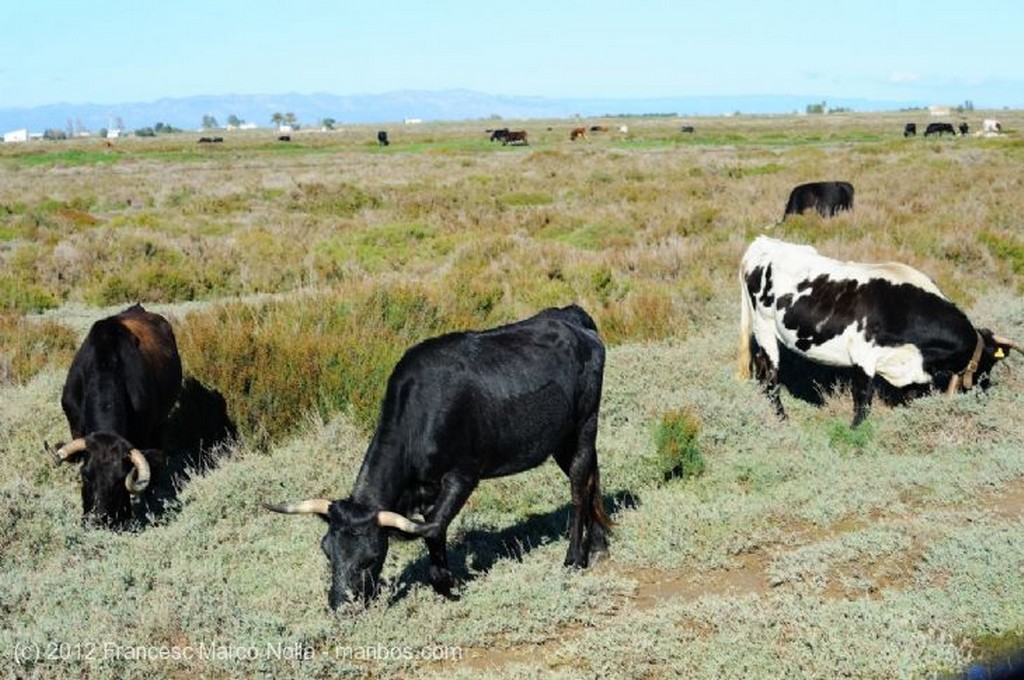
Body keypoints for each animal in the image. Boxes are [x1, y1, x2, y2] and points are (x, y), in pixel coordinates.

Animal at [54, 305, 183, 528]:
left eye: (119, 480)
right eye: (85, 475)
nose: (98, 518)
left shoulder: (141, 433)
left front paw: (126, 515)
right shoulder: (75, 426)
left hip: (160, 423)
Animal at [268, 305, 610, 606]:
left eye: (371, 558)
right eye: (327, 551)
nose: (341, 605)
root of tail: (570, 316)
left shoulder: (462, 476)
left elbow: (434, 528)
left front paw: (448, 585)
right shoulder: (426, 488)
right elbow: (435, 531)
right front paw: (444, 579)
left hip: (585, 424)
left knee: (579, 488)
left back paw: (573, 560)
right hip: (562, 439)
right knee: (593, 478)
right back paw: (599, 546)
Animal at [737, 235, 1015, 426]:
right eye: (987, 365)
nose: (984, 394)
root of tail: (763, 242)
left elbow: (911, 395)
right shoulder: (864, 357)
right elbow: (863, 400)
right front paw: (856, 431)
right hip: (764, 327)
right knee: (771, 376)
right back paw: (781, 417)